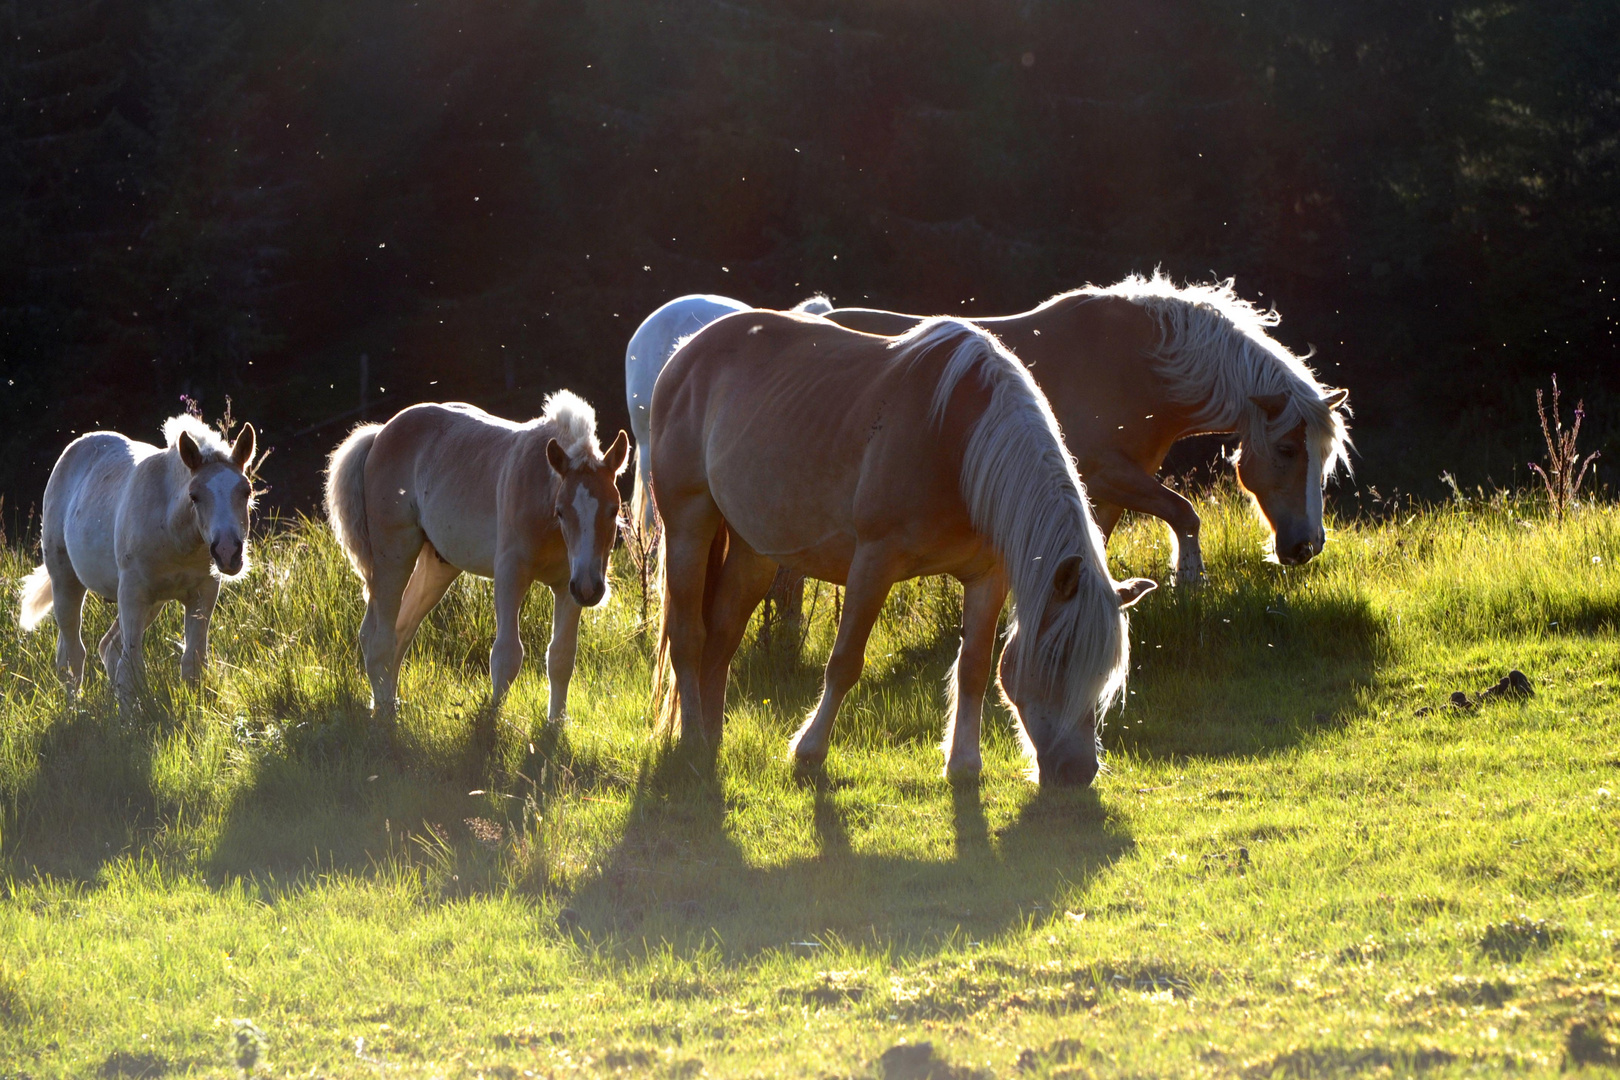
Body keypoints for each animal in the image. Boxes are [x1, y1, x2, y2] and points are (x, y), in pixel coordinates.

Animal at [18, 414, 255, 702]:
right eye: (194, 495)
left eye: (246, 491)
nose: (227, 551)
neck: (174, 535)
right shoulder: (132, 593)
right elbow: (132, 667)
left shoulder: (203, 593)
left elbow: (193, 662)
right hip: (66, 579)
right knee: (73, 653)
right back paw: (75, 706)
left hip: (151, 603)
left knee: (105, 647)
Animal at [325, 393, 628, 722]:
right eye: (560, 511)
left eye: (614, 509)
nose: (589, 588)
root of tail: (380, 433)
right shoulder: (511, 575)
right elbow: (507, 655)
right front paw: (492, 723)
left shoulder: (567, 586)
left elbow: (561, 658)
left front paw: (554, 726)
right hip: (393, 556)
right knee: (377, 638)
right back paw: (384, 714)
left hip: (437, 566)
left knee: (398, 632)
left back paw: (389, 705)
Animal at [644, 312, 1153, 786]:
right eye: (1057, 660)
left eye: (1102, 674)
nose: (1077, 772)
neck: (958, 443)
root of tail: (684, 352)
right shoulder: (874, 562)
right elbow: (844, 662)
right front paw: (809, 752)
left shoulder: (988, 577)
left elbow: (974, 667)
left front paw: (963, 764)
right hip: (688, 526)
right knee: (689, 636)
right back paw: (694, 739)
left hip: (755, 552)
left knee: (722, 639)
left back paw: (712, 737)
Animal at [829, 275, 1347, 586]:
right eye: (1286, 449)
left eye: (1324, 457)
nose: (1307, 546)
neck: (1139, 367)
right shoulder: (1103, 475)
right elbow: (1184, 514)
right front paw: (1189, 580)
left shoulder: (1114, 487)